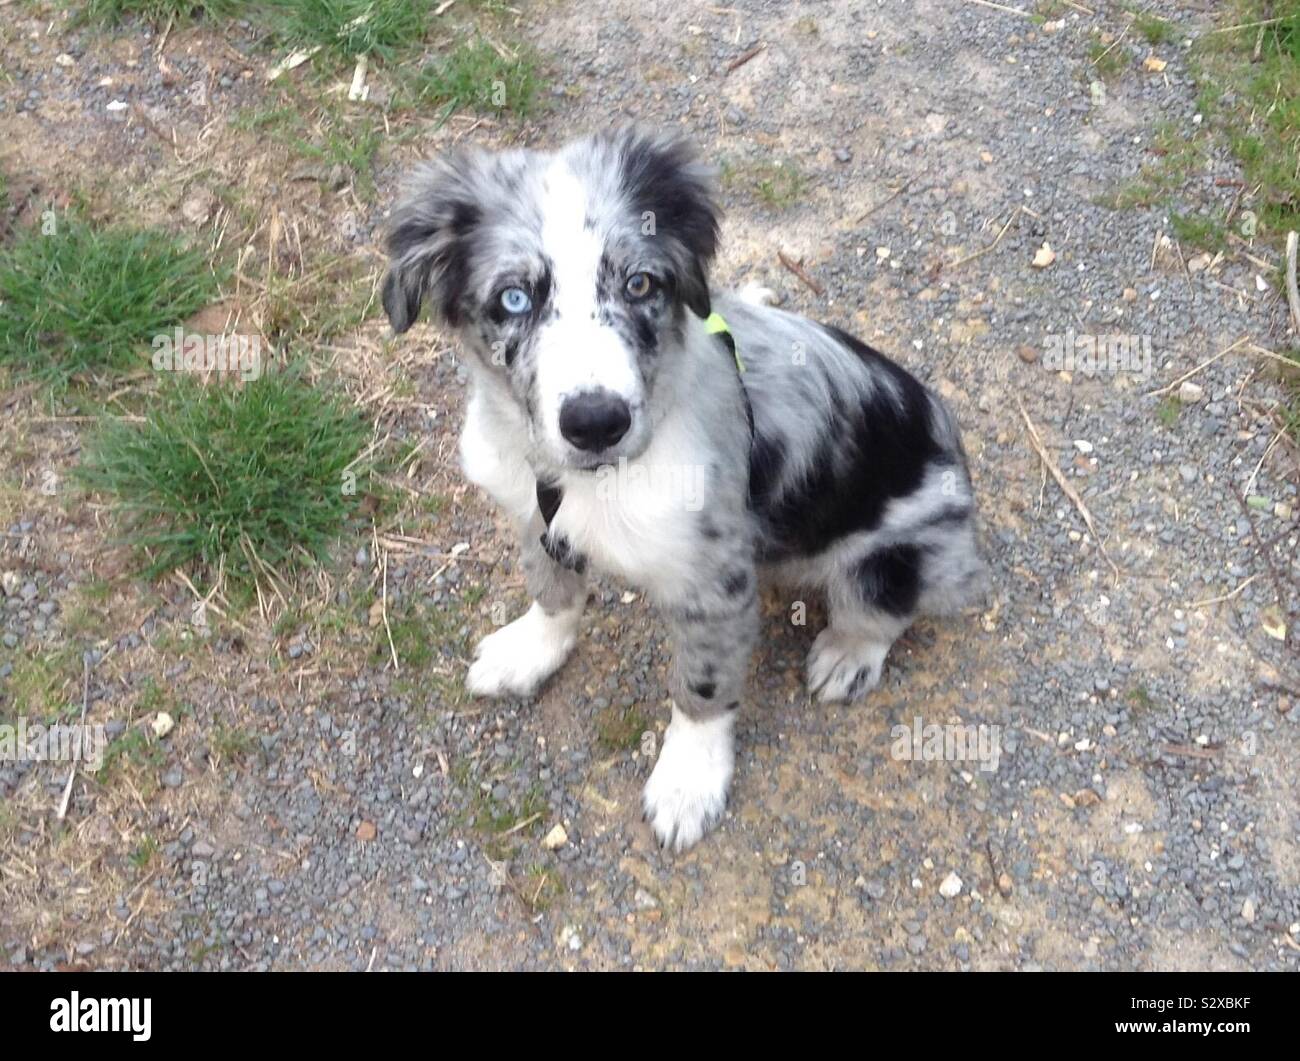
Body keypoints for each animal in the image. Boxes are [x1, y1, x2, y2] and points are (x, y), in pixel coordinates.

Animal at [379, 126, 977, 852]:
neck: (590, 478)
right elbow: (552, 592)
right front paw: (531, 651)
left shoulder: (713, 582)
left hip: (897, 555)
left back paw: (847, 653)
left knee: (888, 608)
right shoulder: (535, 515)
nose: (596, 422)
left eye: (640, 283)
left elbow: (702, 686)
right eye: (514, 298)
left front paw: (689, 779)